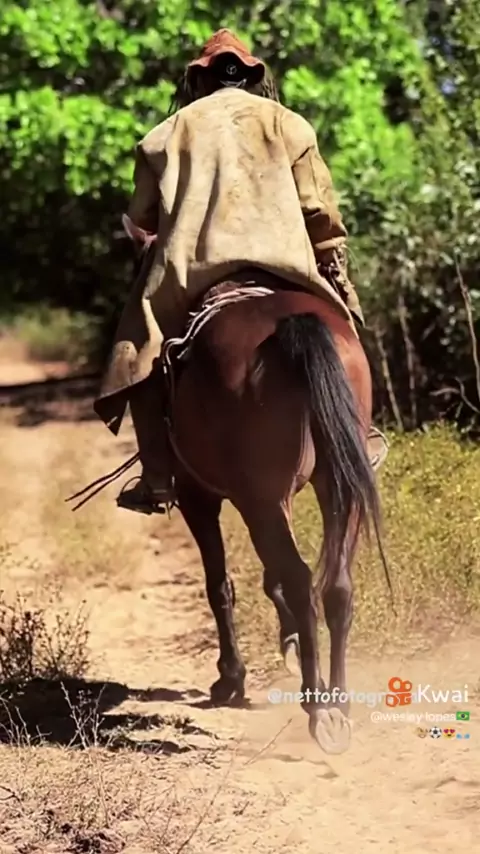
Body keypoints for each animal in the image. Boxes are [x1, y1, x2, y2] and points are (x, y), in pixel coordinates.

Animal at [122, 221, 384, 755]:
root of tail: (293, 326)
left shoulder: (202, 497)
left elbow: (220, 584)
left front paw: (231, 677)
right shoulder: (267, 497)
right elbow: (270, 575)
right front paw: (288, 646)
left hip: (257, 496)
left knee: (302, 581)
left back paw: (318, 710)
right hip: (331, 486)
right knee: (336, 585)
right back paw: (338, 703)